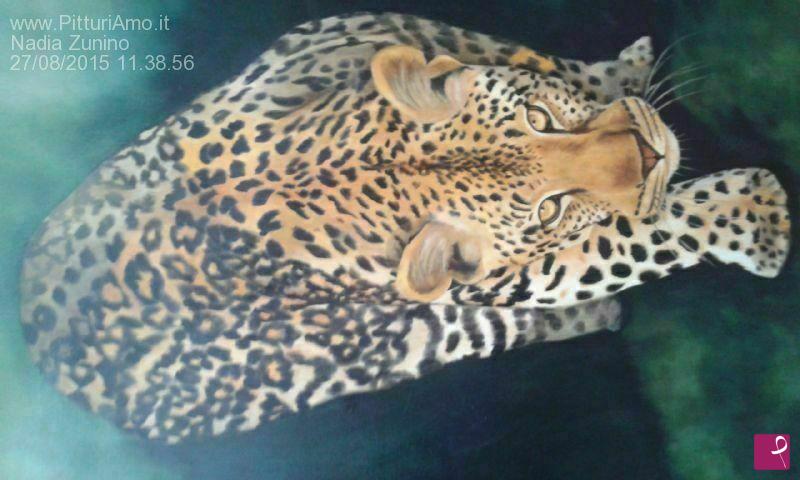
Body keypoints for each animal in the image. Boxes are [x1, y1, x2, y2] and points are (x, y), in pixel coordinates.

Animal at [19, 12, 790, 443]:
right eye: (549, 210)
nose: (651, 150)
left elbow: (528, 57)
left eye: (542, 118)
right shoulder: (512, 278)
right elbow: (642, 236)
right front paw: (755, 213)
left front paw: (625, 69)